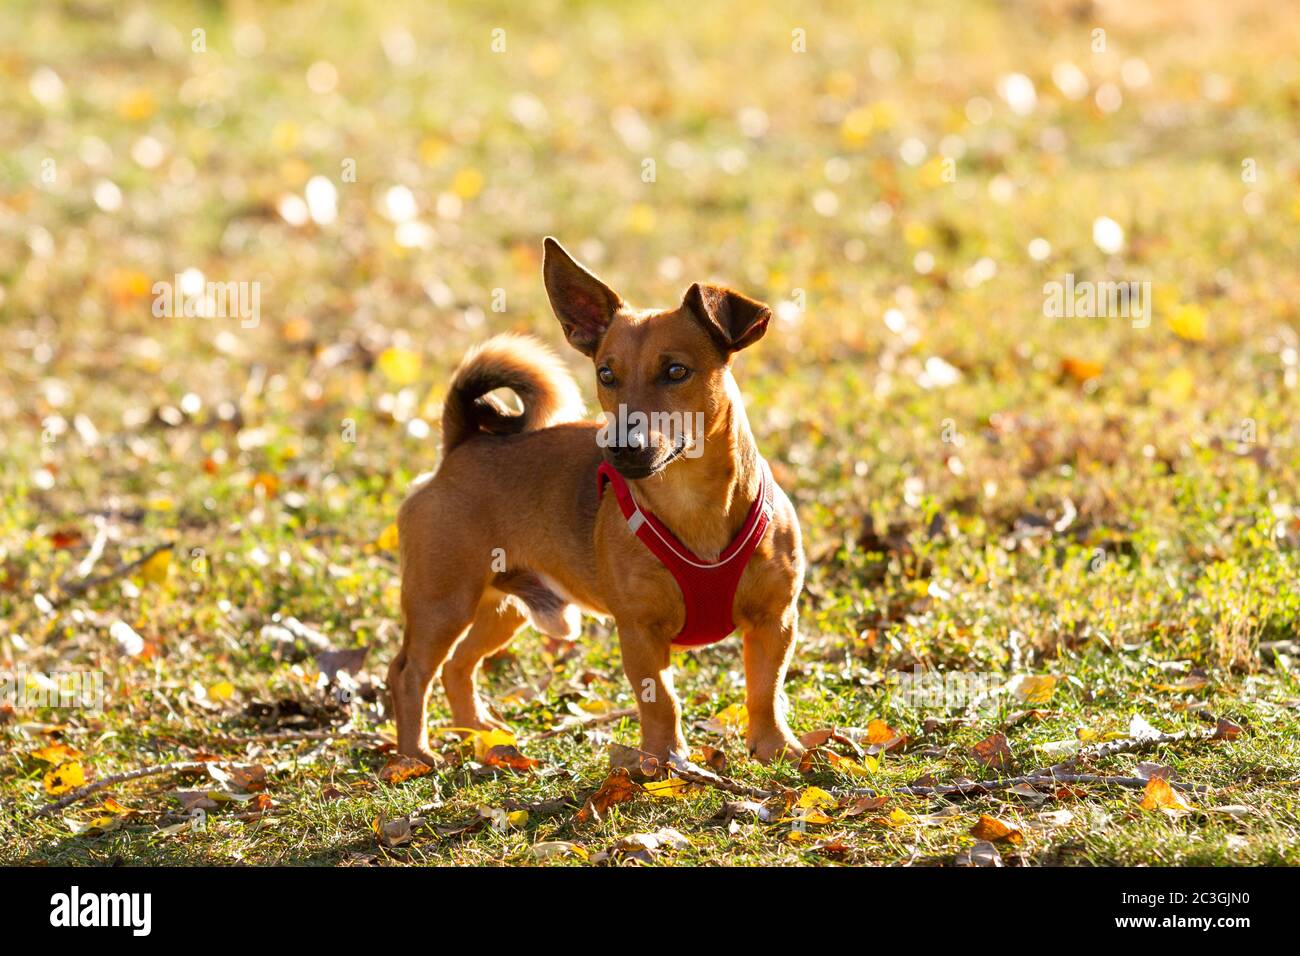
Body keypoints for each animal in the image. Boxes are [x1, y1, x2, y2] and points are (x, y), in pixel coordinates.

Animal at [387, 240, 800, 770]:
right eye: (606, 374)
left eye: (676, 371)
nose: (621, 444)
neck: (693, 498)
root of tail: (462, 444)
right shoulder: (640, 632)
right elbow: (661, 700)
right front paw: (665, 760)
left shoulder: (774, 622)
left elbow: (765, 691)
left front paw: (776, 748)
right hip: (443, 604)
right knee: (410, 672)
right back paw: (414, 755)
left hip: (502, 608)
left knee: (457, 666)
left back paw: (480, 733)